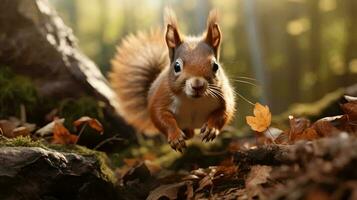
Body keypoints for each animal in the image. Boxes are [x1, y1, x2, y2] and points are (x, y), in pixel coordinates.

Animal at [108, 8, 236, 152]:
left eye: (215, 66)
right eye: (177, 66)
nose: (197, 85)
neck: (194, 101)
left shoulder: (223, 95)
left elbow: (225, 112)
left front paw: (211, 128)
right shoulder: (161, 97)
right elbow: (160, 117)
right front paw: (176, 138)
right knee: (189, 132)